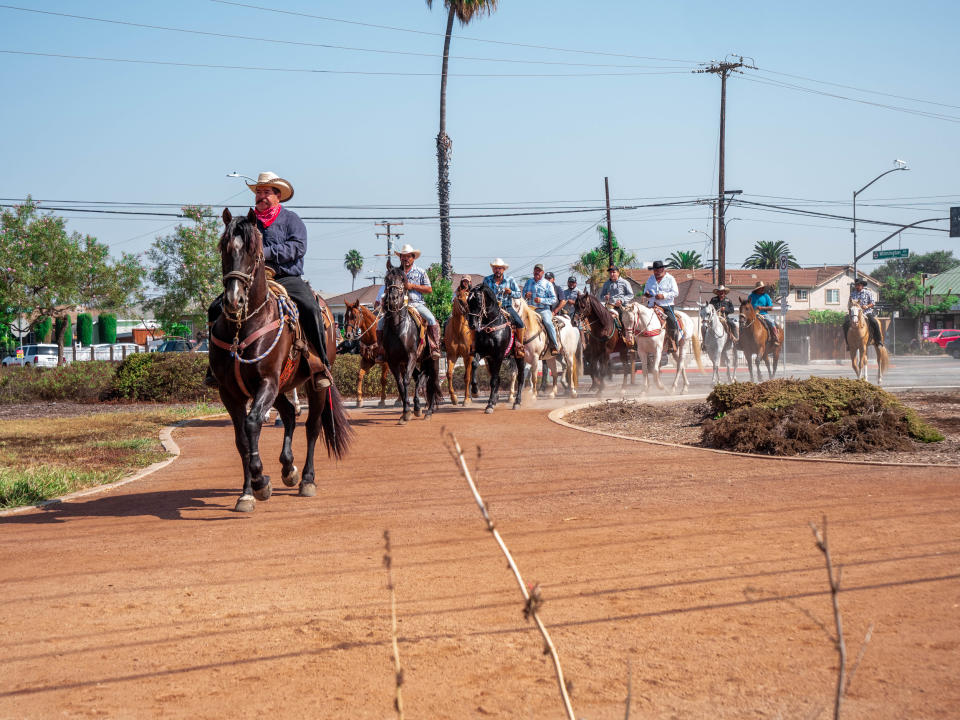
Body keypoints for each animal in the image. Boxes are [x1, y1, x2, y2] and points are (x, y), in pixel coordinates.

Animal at [208, 208, 350, 512]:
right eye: (224, 249)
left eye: (254, 252)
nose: (233, 300)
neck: (244, 325)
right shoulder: (230, 392)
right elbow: (242, 440)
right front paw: (247, 493)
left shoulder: (267, 381)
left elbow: (252, 424)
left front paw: (261, 481)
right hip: (282, 386)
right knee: (288, 414)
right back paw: (288, 468)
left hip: (313, 384)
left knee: (312, 426)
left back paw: (307, 479)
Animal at [382, 258, 442, 424]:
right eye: (387, 279)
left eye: (403, 279)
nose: (393, 299)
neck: (398, 327)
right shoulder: (394, 361)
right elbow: (400, 384)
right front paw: (405, 412)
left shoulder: (411, 356)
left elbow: (406, 380)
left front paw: (410, 410)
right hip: (420, 361)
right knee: (421, 377)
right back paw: (419, 407)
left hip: (433, 361)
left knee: (432, 382)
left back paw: (428, 411)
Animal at [464, 284, 524, 414]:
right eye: (468, 301)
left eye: (478, 301)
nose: (472, 325)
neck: (491, 326)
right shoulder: (482, 352)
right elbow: (475, 364)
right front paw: (475, 390)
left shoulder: (499, 355)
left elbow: (494, 380)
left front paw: (490, 405)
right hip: (491, 360)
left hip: (520, 357)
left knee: (521, 378)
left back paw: (517, 402)